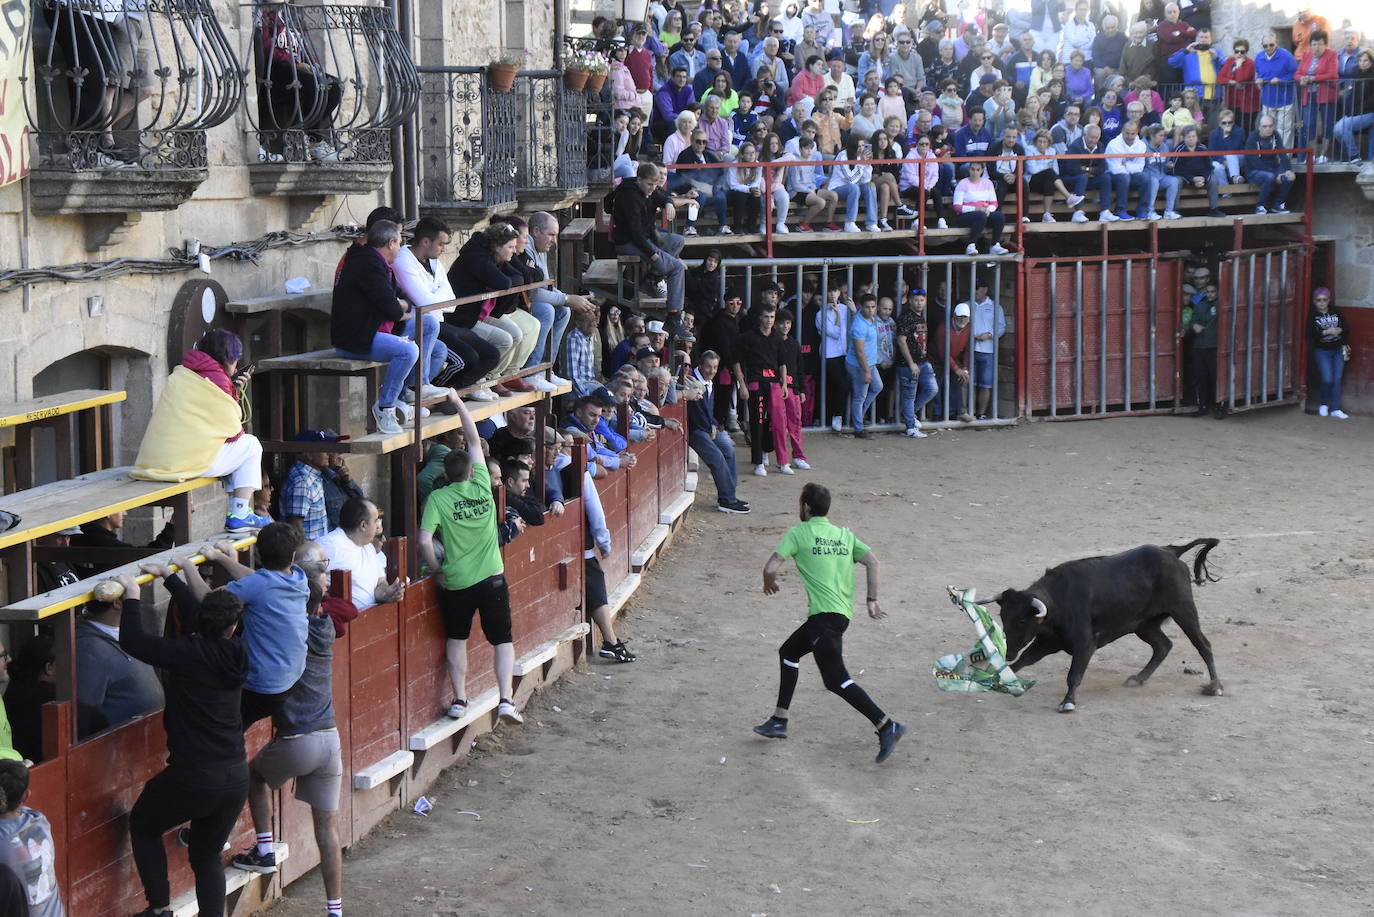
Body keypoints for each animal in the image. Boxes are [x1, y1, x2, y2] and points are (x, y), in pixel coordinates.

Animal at [994, 541, 1231, 714]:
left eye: (1022, 620)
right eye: (1003, 617)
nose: (1008, 653)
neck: (1058, 600)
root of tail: (1171, 551)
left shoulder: (1085, 645)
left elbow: (1074, 674)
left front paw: (1068, 702)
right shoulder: (1047, 642)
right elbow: (1024, 660)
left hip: (1184, 611)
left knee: (1203, 645)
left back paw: (1215, 686)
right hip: (1144, 625)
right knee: (1163, 646)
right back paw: (1138, 679)